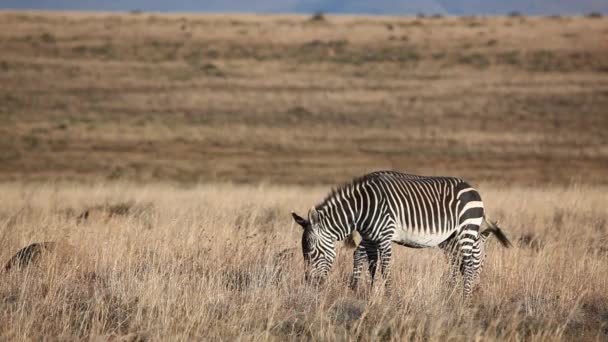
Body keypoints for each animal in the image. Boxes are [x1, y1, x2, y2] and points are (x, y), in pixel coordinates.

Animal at [292, 171, 510, 296]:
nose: (310, 284)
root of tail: (472, 188)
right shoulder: (371, 238)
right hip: (454, 235)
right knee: (462, 262)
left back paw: (465, 298)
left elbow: (385, 269)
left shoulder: (384, 237)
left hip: (466, 228)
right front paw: (370, 294)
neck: (361, 208)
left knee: (470, 264)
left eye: (313, 252)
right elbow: (371, 264)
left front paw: (387, 296)